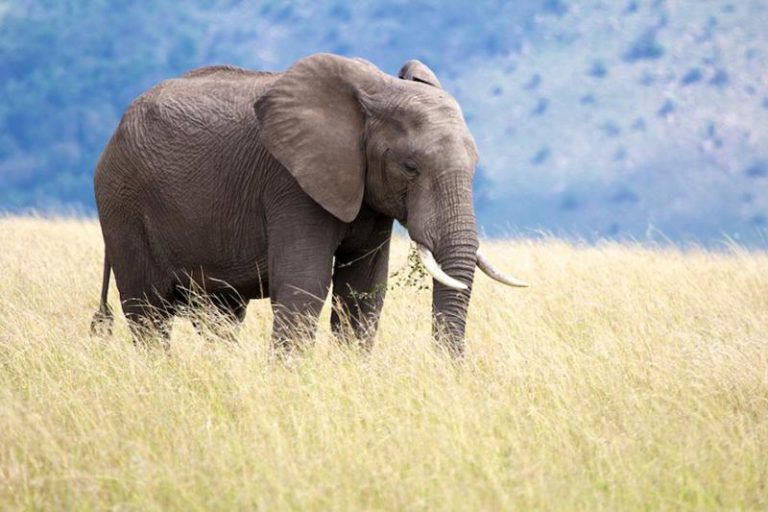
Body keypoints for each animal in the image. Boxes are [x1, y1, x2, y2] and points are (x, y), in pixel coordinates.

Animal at [90, 53, 526, 355]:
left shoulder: (366, 195)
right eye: (410, 167)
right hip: (122, 202)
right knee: (148, 310)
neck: (375, 93)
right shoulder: (291, 185)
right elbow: (304, 283)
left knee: (220, 316)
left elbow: (363, 291)